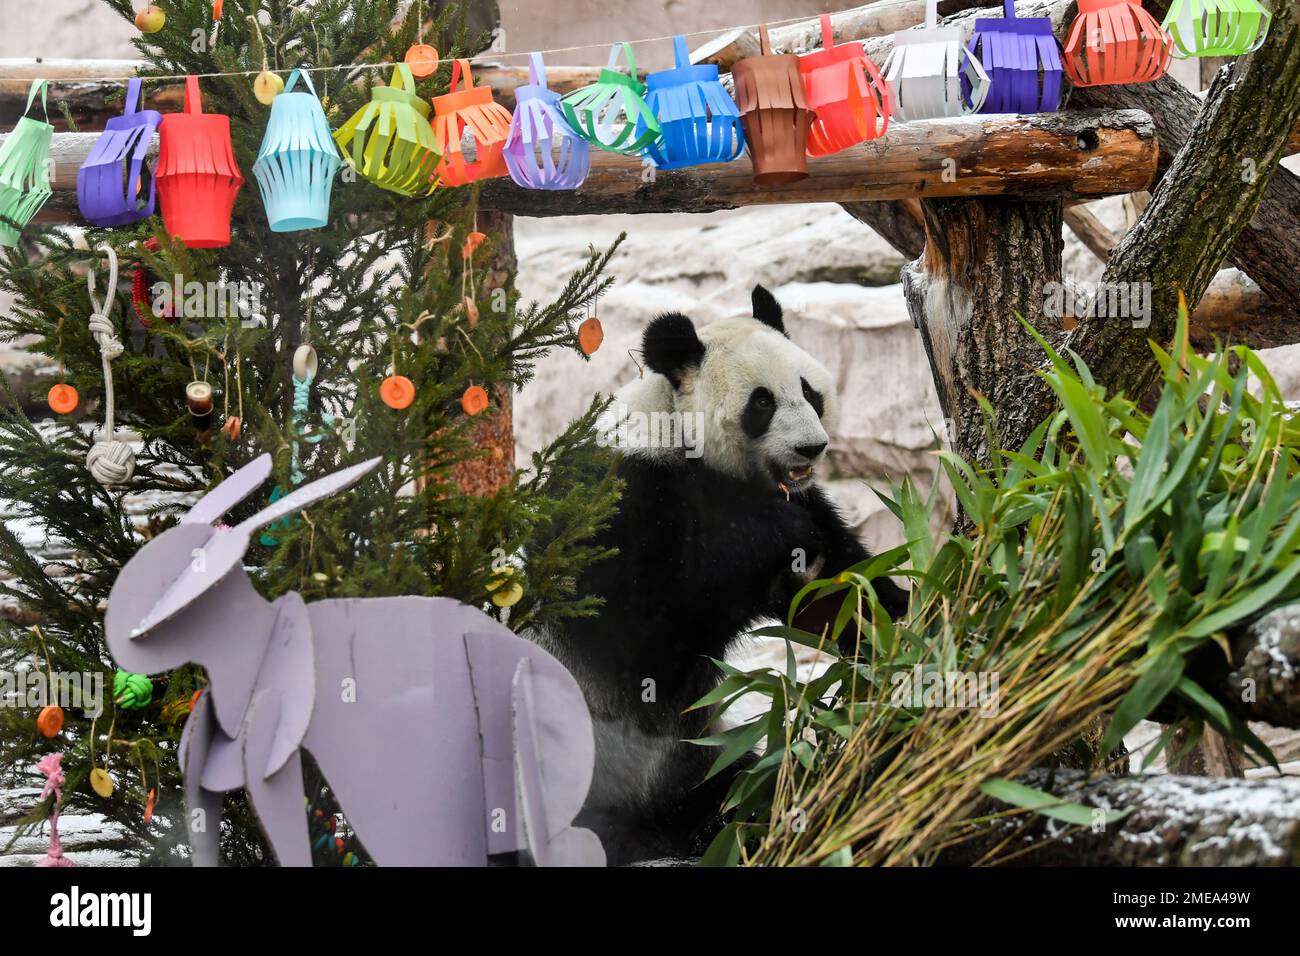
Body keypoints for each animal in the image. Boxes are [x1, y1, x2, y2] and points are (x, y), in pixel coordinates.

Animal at [533, 283, 909, 868]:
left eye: (810, 391)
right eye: (762, 402)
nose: (813, 447)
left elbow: (839, 588)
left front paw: (898, 620)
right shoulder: (621, 505)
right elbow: (644, 639)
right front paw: (773, 534)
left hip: (693, 759)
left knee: (739, 784)